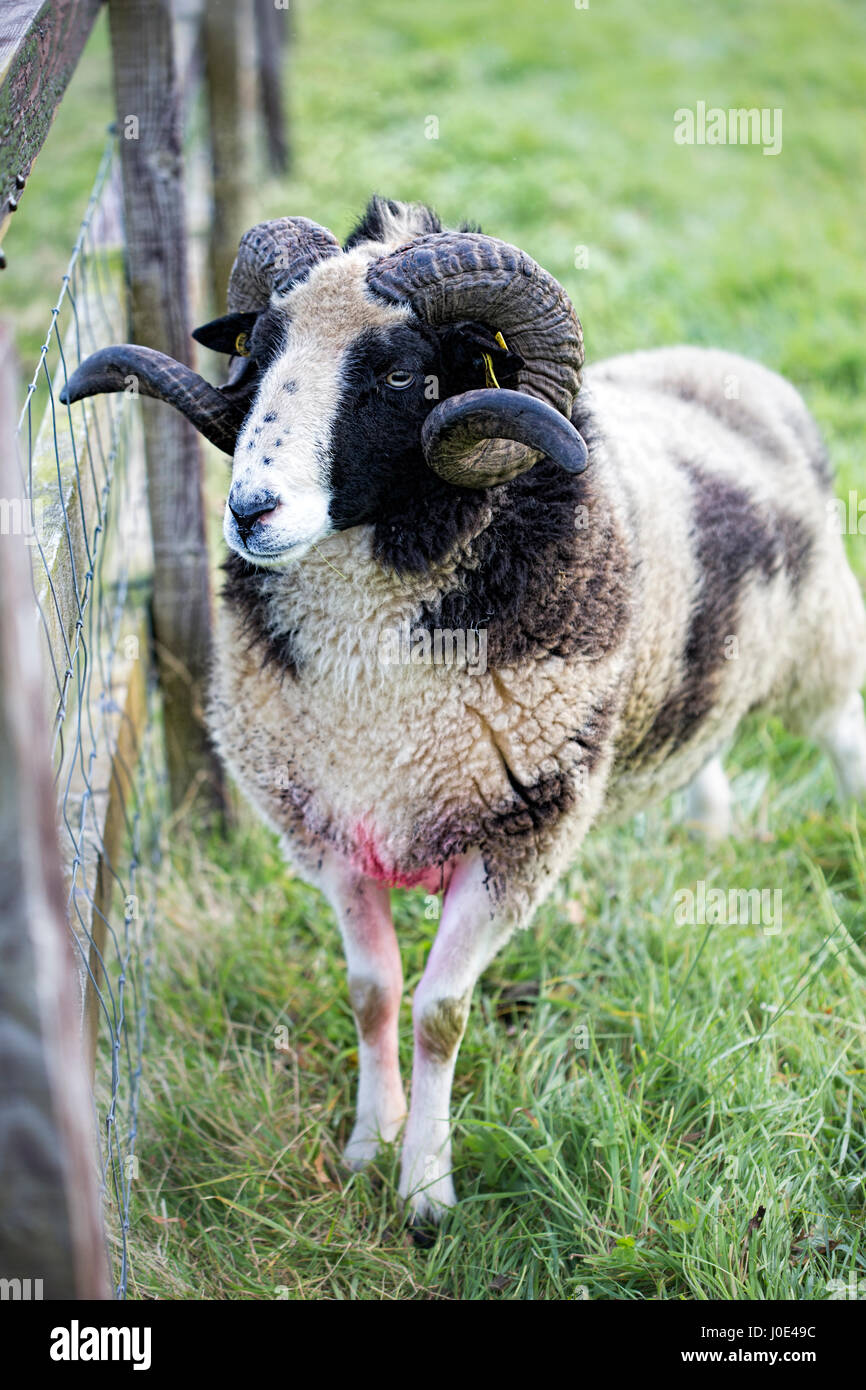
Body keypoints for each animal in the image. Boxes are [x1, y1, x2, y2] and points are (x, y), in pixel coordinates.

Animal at [61, 193, 866, 1228]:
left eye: (400, 372)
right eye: (260, 351)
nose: (249, 509)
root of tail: (736, 368)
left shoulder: (518, 838)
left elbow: (440, 1013)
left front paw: (427, 1192)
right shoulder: (332, 831)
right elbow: (372, 991)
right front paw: (369, 1146)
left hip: (822, 642)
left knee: (844, 734)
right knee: (711, 740)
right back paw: (708, 826)